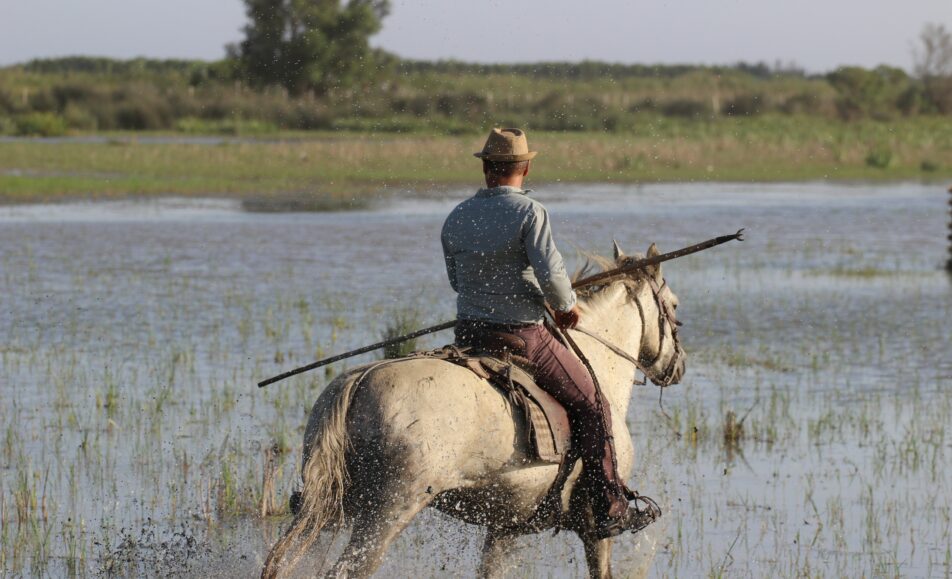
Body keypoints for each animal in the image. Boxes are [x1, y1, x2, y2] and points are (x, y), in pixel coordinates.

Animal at [260, 244, 684, 579]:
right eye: (675, 308)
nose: (677, 366)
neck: (597, 360)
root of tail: (358, 381)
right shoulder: (596, 528)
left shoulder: (505, 528)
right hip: (386, 513)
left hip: (331, 507)